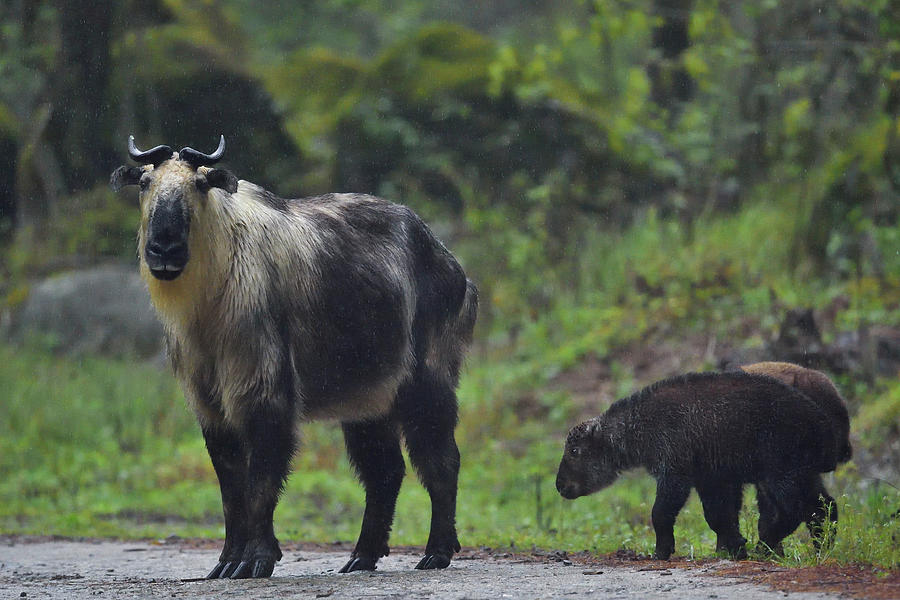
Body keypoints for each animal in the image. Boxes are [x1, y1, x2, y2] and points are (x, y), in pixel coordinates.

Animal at [110, 136, 478, 576]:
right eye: (145, 182)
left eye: (199, 184)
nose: (163, 248)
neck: (210, 302)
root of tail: (455, 270)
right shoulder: (210, 407)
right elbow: (230, 488)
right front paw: (228, 561)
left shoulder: (266, 393)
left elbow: (260, 483)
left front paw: (256, 559)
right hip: (368, 402)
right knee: (385, 473)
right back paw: (362, 556)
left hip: (428, 384)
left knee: (441, 463)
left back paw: (437, 551)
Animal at [556, 372, 836, 560]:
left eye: (574, 451)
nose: (560, 486)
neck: (639, 425)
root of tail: (822, 424)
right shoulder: (710, 479)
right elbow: (718, 517)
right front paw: (735, 546)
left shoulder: (675, 473)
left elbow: (660, 513)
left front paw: (662, 551)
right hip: (802, 474)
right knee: (825, 507)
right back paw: (821, 547)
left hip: (781, 474)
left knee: (796, 510)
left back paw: (765, 545)